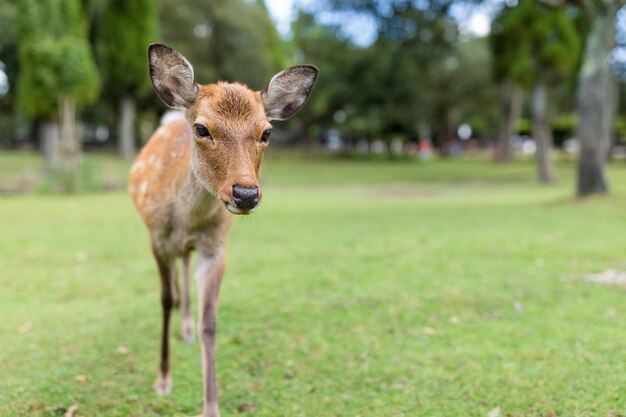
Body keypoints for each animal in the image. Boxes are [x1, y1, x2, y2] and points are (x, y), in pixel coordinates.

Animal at [130, 43, 320, 416]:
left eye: (266, 132)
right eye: (202, 129)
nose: (246, 194)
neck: (186, 220)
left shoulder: (216, 248)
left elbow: (211, 324)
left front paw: (211, 406)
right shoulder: (156, 238)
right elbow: (164, 300)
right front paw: (163, 379)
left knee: (186, 266)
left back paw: (187, 327)